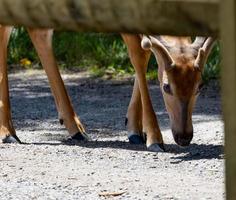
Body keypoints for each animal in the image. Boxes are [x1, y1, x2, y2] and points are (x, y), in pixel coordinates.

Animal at [0, 25, 216, 153]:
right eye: (166, 86)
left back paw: (76, 129)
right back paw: (8, 133)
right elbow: (139, 52)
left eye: (200, 86)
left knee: (39, 32)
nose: (184, 137)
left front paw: (134, 129)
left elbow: (147, 52)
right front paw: (154, 138)